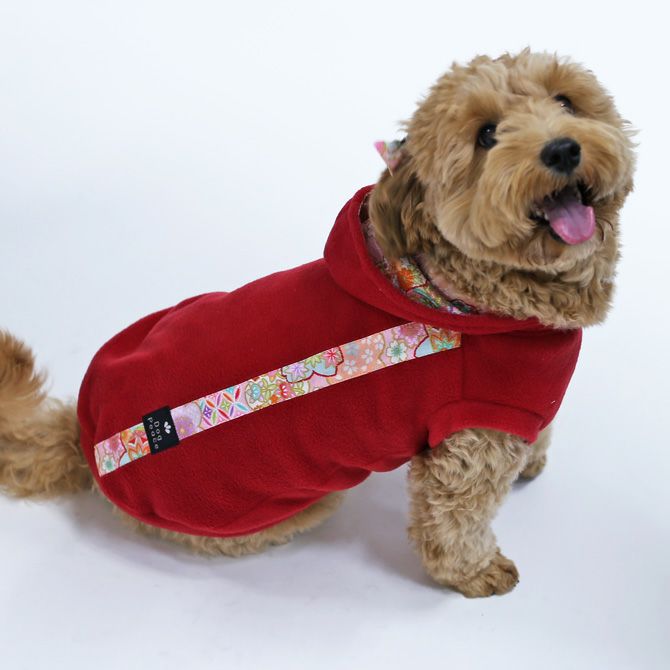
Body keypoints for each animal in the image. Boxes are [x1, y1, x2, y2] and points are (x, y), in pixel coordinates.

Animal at [0, 49, 635, 597]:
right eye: (485, 135)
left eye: (567, 100)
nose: (562, 149)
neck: (460, 293)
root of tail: (85, 438)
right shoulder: (470, 441)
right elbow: (453, 525)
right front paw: (476, 574)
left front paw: (534, 460)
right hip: (286, 505)